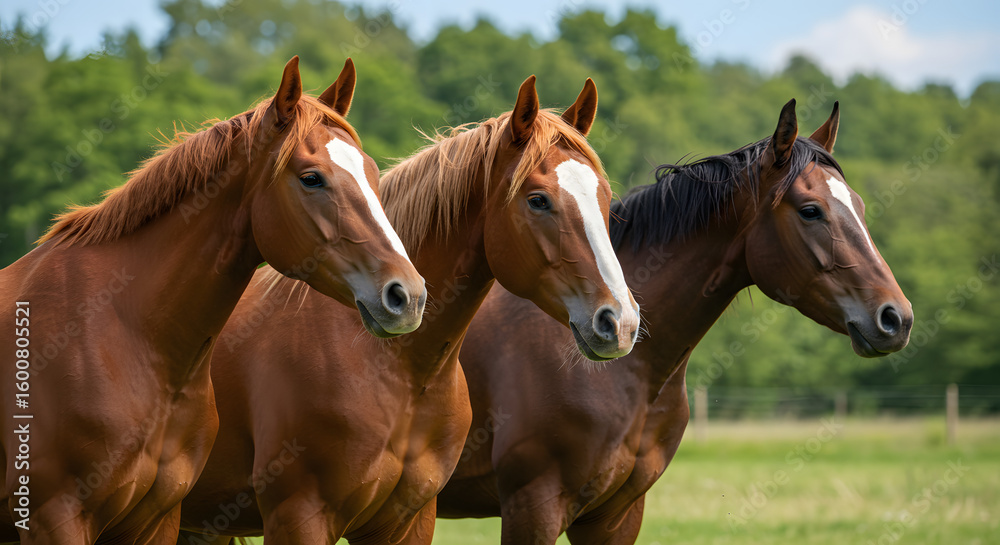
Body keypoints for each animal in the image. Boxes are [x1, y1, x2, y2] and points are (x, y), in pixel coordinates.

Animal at [0, 56, 425, 545]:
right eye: (311, 178)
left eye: (372, 174)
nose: (408, 295)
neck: (122, 335)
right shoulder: (55, 516)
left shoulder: (155, 520)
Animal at [176, 75, 641, 545]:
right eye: (539, 200)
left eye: (604, 195)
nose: (619, 321)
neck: (399, 373)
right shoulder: (299, 516)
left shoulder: (408, 520)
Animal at [437, 100, 914, 544]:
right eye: (811, 211)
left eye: (860, 206)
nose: (897, 318)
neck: (628, 375)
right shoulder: (534, 507)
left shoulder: (615, 516)